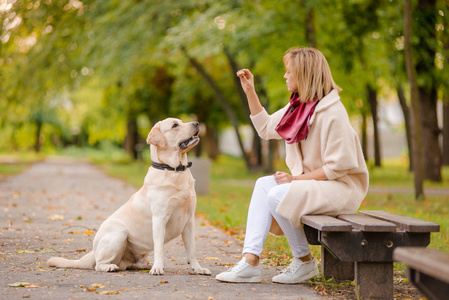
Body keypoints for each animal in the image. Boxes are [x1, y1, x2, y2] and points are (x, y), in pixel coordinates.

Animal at [46, 118, 211, 276]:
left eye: (182, 122)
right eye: (175, 125)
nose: (197, 123)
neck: (174, 171)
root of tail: (94, 250)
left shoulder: (189, 221)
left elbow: (192, 251)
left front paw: (198, 269)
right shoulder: (159, 219)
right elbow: (159, 248)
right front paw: (158, 268)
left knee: (129, 265)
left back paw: (145, 265)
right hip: (119, 234)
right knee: (99, 265)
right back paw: (111, 267)